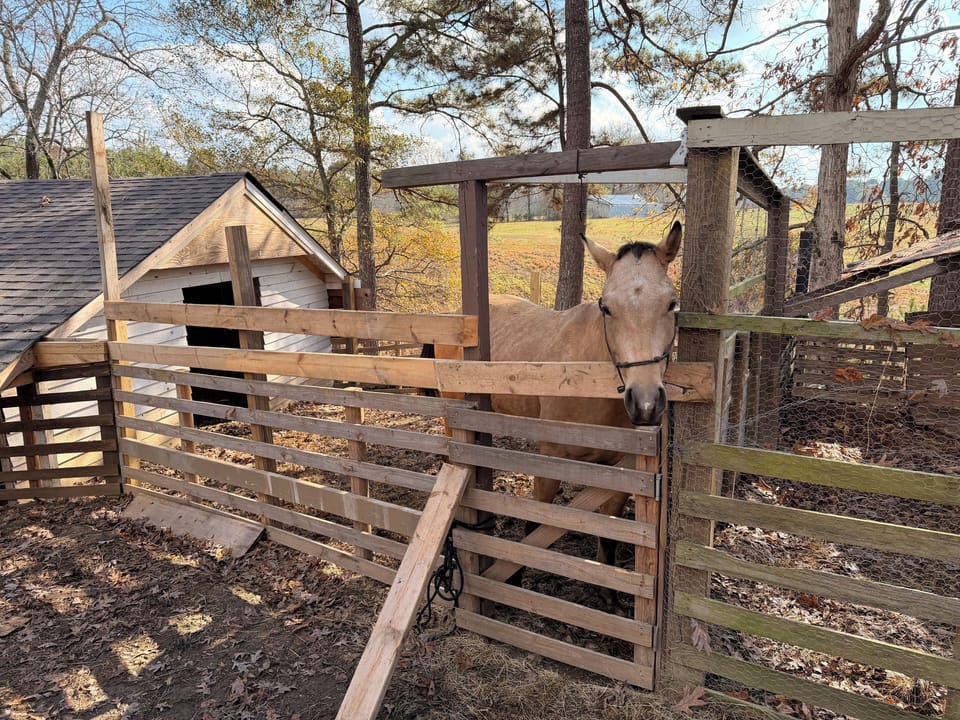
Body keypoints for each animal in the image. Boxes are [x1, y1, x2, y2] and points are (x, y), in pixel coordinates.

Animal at [488, 221, 682, 594]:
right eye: (606, 307)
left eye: (671, 304)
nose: (645, 402)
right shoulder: (551, 457)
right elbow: (535, 525)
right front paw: (516, 576)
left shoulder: (618, 469)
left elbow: (610, 533)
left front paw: (609, 592)